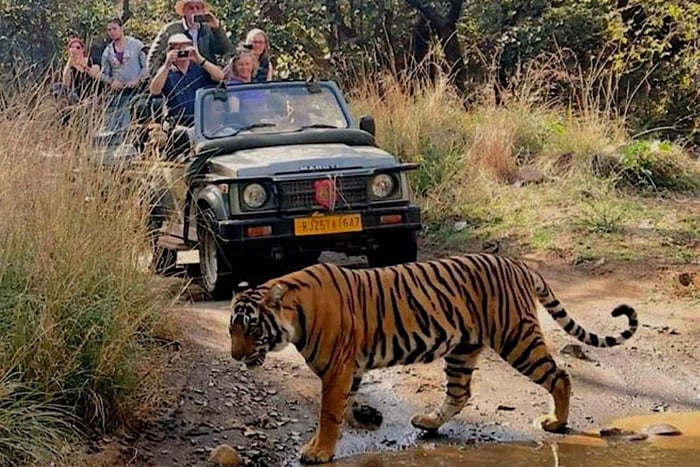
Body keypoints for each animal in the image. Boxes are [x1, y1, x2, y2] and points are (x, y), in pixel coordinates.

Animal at [228, 253, 638, 465]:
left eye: (251, 328)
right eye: (232, 330)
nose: (235, 356)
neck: (294, 316)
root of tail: (518, 264)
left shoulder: (338, 369)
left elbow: (328, 413)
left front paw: (319, 451)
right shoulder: (349, 369)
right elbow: (343, 406)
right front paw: (358, 422)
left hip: (516, 338)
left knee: (560, 375)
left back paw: (556, 422)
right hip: (463, 349)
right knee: (459, 393)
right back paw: (427, 422)